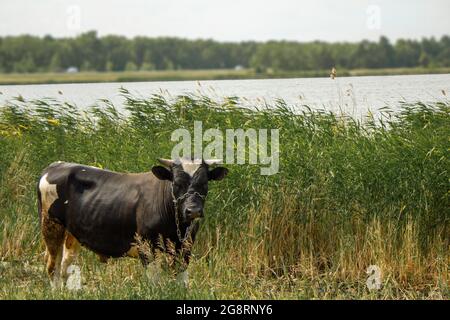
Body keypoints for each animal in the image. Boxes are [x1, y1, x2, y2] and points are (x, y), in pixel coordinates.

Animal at [37, 159, 229, 286]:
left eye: (204, 183)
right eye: (176, 183)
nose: (193, 210)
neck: (177, 228)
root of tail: (56, 165)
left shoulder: (186, 248)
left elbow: (181, 282)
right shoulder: (146, 247)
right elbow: (155, 283)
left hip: (72, 233)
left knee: (65, 266)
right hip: (51, 225)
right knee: (52, 267)